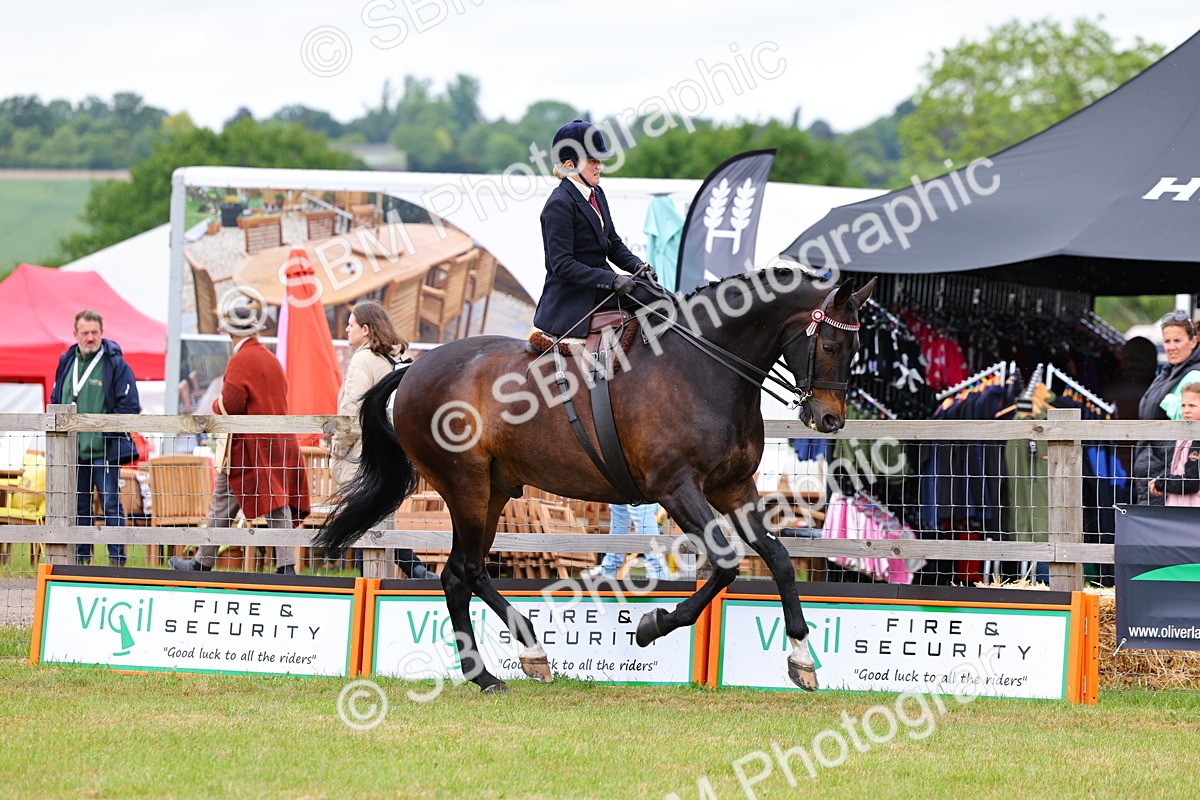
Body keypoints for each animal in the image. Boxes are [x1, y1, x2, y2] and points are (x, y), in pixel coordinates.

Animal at [317, 269, 875, 693]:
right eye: (829, 342)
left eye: (856, 345)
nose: (830, 419)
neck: (705, 369)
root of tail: (414, 368)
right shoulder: (676, 489)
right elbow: (724, 567)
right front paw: (651, 627)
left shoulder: (734, 488)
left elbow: (778, 559)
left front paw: (802, 658)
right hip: (465, 486)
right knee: (460, 573)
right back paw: (491, 675)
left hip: (493, 490)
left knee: (466, 572)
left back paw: (522, 658)